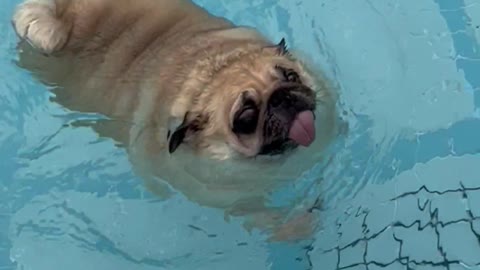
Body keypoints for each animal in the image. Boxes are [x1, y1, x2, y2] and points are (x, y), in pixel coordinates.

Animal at [11, 0, 338, 242]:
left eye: (290, 76)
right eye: (245, 119)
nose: (281, 97)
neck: (214, 74)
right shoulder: (229, 199)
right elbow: (262, 218)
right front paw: (297, 225)